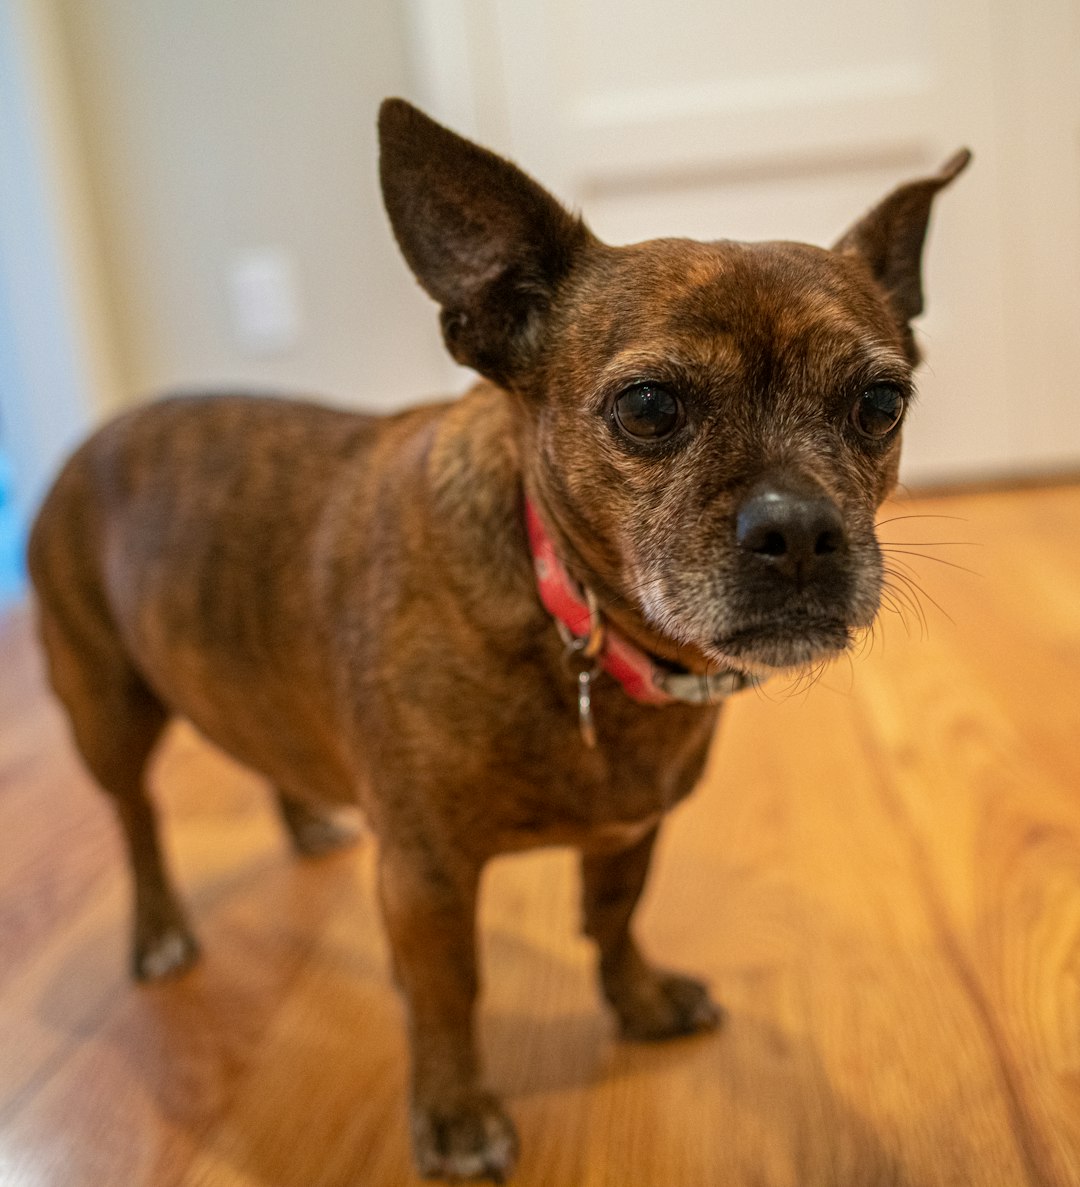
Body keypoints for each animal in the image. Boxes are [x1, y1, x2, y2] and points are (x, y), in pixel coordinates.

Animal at [27, 99, 973, 1177]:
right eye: (648, 407)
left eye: (880, 404)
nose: (800, 529)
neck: (574, 626)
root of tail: (98, 437)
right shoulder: (426, 877)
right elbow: (448, 995)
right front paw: (454, 1110)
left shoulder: (628, 833)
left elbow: (613, 920)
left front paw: (638, 1002)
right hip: (105, 707)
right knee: (137, 818)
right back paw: (157, 929)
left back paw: (306, 818)